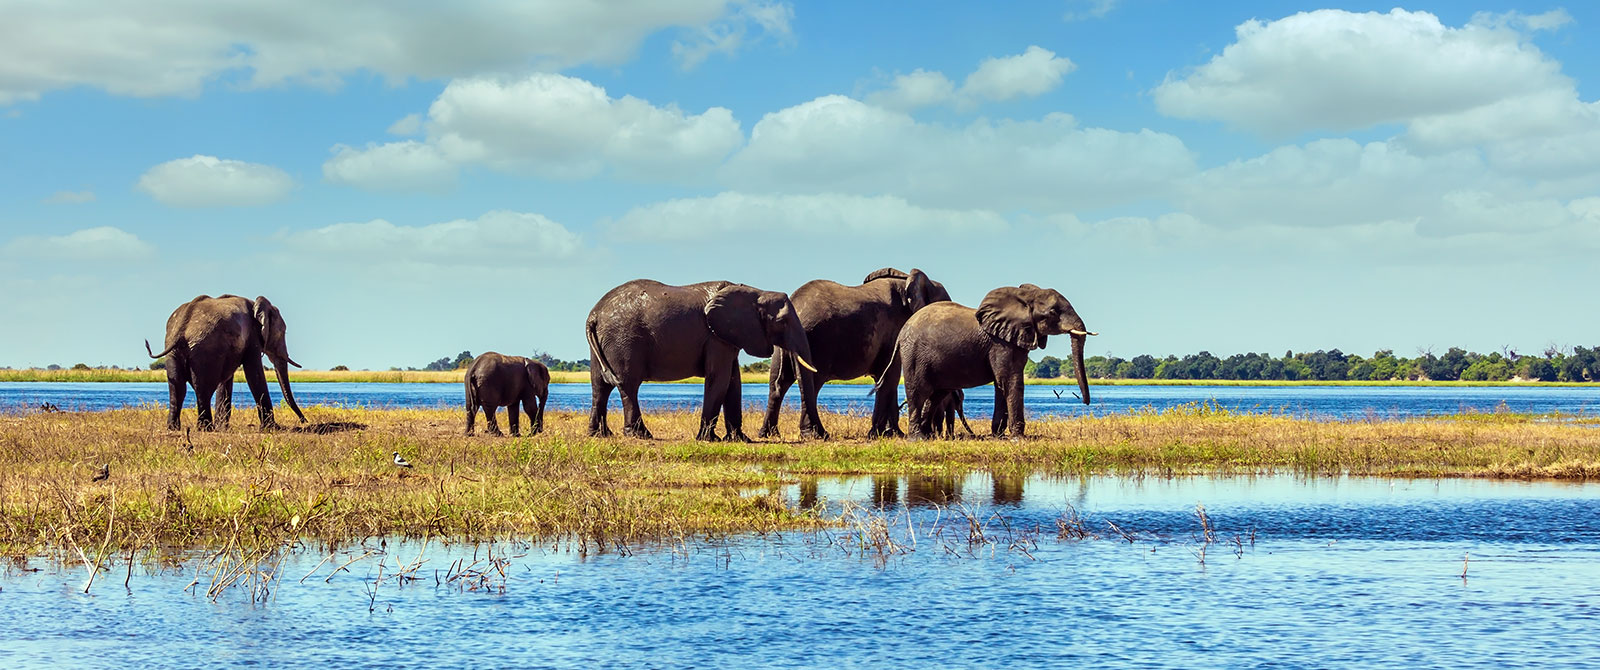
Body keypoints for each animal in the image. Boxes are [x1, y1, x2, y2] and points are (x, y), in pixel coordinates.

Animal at [145, 295, 307, 431]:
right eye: (282, 333)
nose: (304, 421)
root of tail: (182, 327)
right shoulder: (252, 337)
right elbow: (254, 373)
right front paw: (272, 428)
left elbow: (226, 381)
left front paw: (223, 427)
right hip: (205, 350)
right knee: (203, 387)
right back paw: (206, 428)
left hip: (174, 351)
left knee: (177, 387)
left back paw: (174, 428)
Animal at [582, 281, 819, 444]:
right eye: (782, 321)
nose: (816, 434)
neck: (756, 292)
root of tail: (593, 315)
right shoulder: (715, 337)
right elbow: (720, 380)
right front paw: (709, 439)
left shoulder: (726, 337)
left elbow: (733, 382)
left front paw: (740, 439)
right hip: (624, 341)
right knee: (628, 385)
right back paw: (641, 435)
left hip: (604, 343)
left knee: (599, 386)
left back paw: (599, 434)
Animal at [758, 267, 947, 441]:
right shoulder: (895, 330)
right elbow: (890, 377)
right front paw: (880, 434)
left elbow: (886, 377)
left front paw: (892, 434)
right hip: (818, 340)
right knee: (812, 384)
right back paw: (817, 435)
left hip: (783, 344)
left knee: (777, 384)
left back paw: (769, 433)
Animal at [889, 284, 1100, 438]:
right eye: (1053, 312)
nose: (1086, 402)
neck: (1024, 296)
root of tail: (902, 332)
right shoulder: (1001, 343)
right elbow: (1010, 380)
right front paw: (1018, 438)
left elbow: (1001, 384)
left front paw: (998, 436)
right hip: (914, 354)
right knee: (919, 391)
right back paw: (917, 437)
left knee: (937, 394)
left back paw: (927, 436)